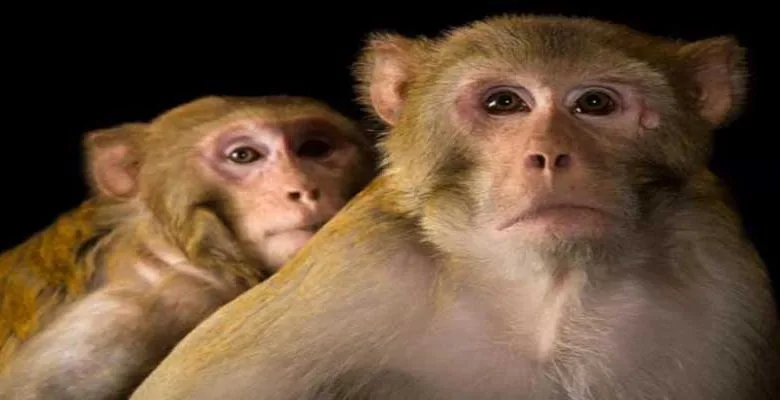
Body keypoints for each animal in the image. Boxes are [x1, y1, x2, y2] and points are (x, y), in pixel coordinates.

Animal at [130, 15, 779, 400]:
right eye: (504, 103)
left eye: (595, 103)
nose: (551, 155)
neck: (550, 300)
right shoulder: (354, 274)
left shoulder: (726, 284)